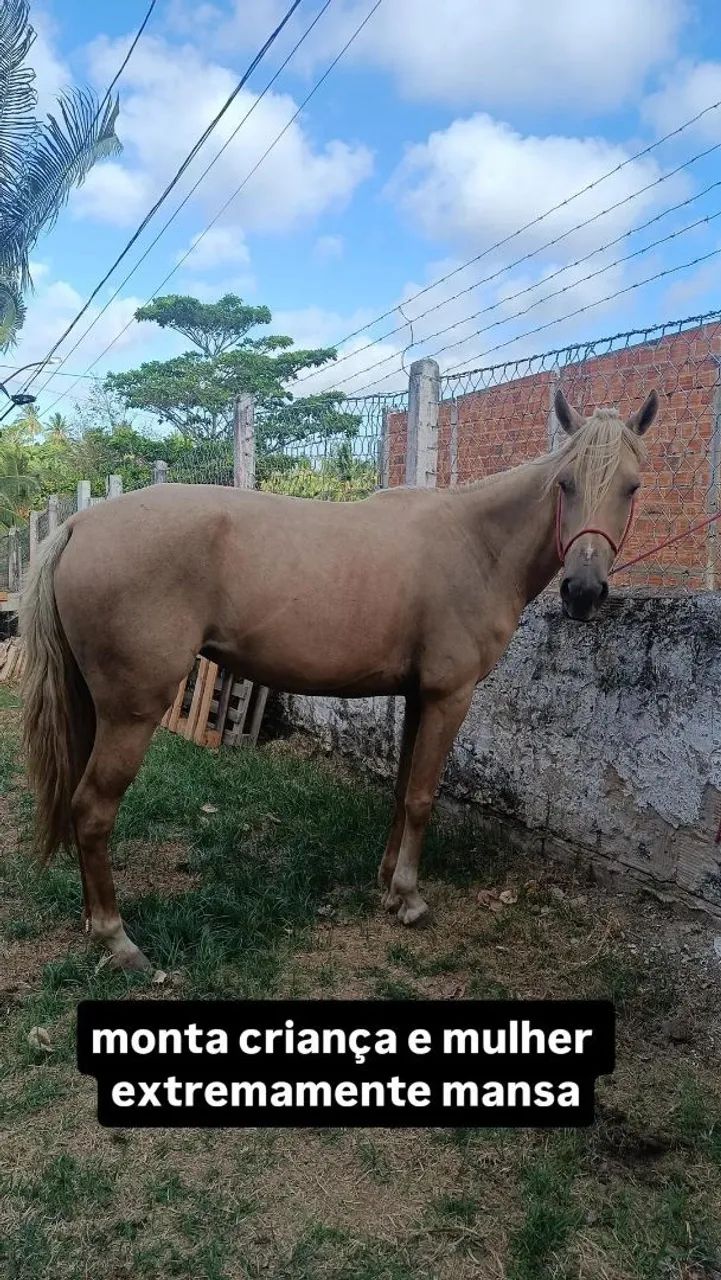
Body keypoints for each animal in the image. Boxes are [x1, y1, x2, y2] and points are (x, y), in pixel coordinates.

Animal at [20, 387, 658, 971]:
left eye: (632, 487)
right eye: (565, 485)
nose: (583, 592)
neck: (476, 544)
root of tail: (79, 523)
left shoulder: (418, 695)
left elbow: (402, 790)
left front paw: (386, 883)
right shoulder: (450, 696)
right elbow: (423, 797)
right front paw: (409, 899)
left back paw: (92, 922)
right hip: (131, 713)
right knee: (92, 810)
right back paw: (117, 939)